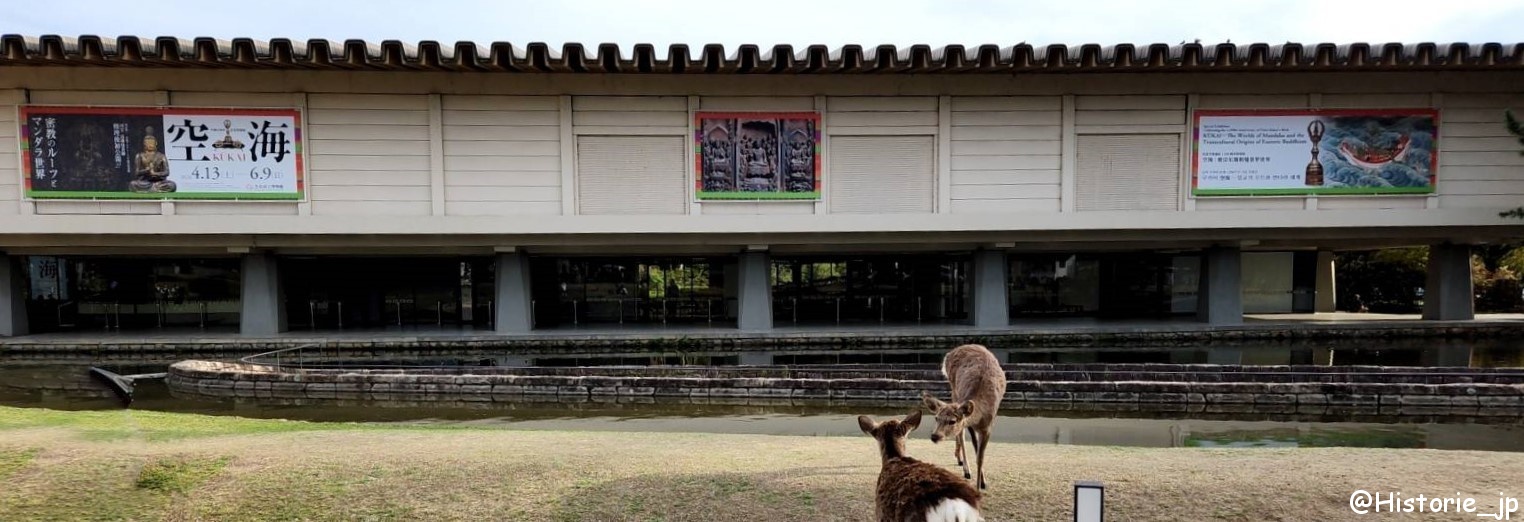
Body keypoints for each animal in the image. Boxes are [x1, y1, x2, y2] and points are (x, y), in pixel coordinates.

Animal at [920, 345, 1005, 493]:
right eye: (936, 418)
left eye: (952, 421)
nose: (935, 436)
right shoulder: (968, 422)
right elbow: (970, 443)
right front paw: (975, 479)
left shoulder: (988, 426)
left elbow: (980, 457)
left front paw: (981, 484)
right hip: (953, 388)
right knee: (961, 435)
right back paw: (964, 467)